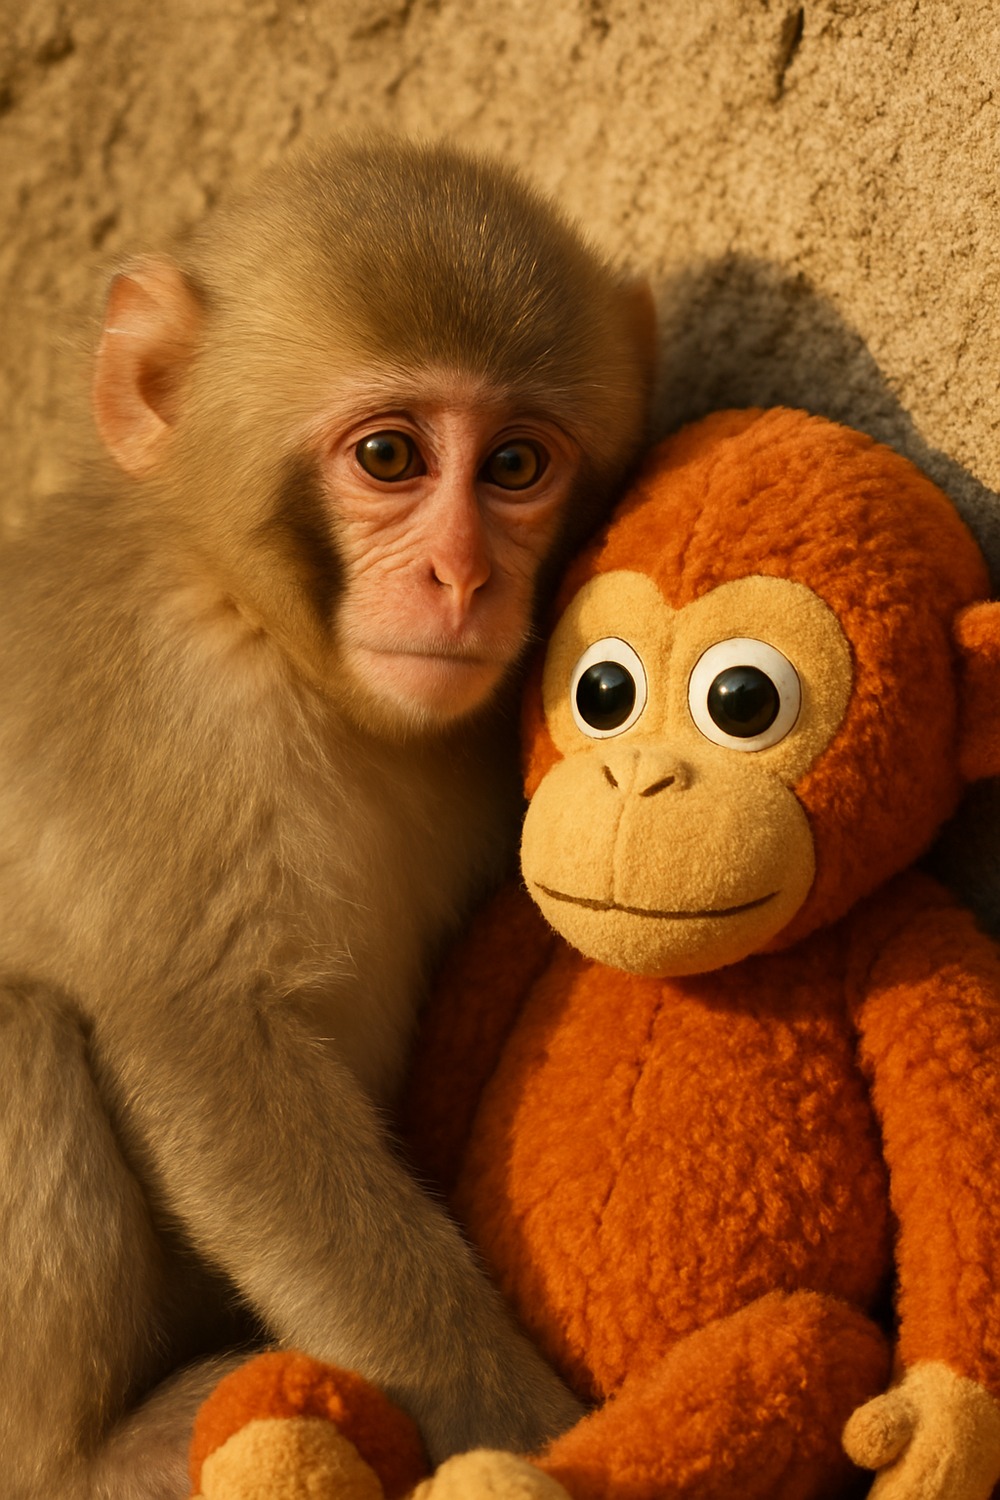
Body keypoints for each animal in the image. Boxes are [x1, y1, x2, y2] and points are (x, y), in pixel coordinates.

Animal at [0, 137, 654, 1500]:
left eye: (516, 465)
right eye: (390, 457)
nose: (462, 577)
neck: (263, 629)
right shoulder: (184, 713)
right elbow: (211, 1046)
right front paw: (533, 1439)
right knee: (21, 1028)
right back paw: (86, 1455)